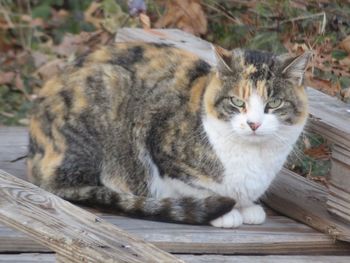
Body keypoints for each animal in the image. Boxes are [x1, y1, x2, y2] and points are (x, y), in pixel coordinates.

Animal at [28, 42, 310, 228]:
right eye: (237, 102)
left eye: (274, 103)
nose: (253, 124)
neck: (252, 156)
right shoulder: (159, 144)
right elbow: (191, 186)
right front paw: (226, 211)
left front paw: (247, 207)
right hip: (105, 93)